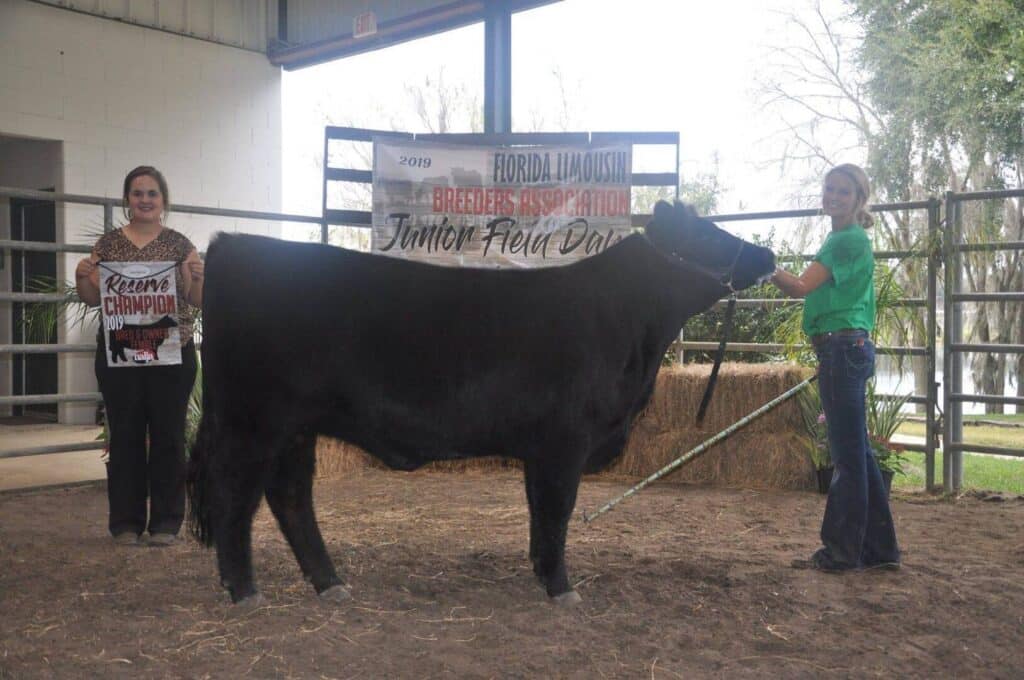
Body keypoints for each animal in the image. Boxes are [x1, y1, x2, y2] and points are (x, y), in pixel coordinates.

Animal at [186, 200, 776, 606]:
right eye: (704, 232)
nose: (768, 254)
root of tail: (232, 245)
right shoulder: (566, 440)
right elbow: (558, 510)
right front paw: (561, 587)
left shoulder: (542, 448)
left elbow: (540, 511)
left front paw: (541, 572)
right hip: (252, 421)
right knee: (234, 494)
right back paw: (244, 589)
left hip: (294, 427)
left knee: (289, 496)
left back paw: (329, 583)